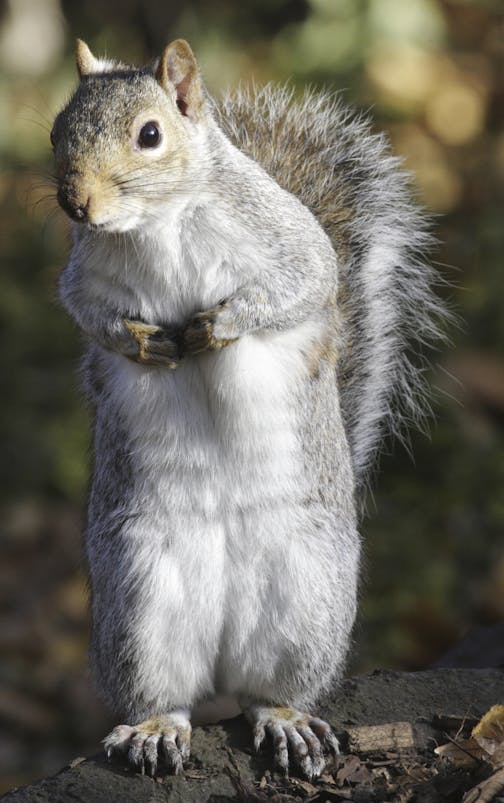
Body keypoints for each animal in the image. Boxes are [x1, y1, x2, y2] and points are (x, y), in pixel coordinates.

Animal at [51, 39, 444, 784]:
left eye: (150, 135)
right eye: (58, 131)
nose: (76, 204)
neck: (157, 225)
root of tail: (223, 656)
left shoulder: (289, 244)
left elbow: (302, 285)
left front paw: (222, 326)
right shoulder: (82, 280)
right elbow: (91, 319)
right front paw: (141, 341)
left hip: (309, 594)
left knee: (269, 692)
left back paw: (286, 721)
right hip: (137, 599)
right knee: (165, 691)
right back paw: (156, 729)